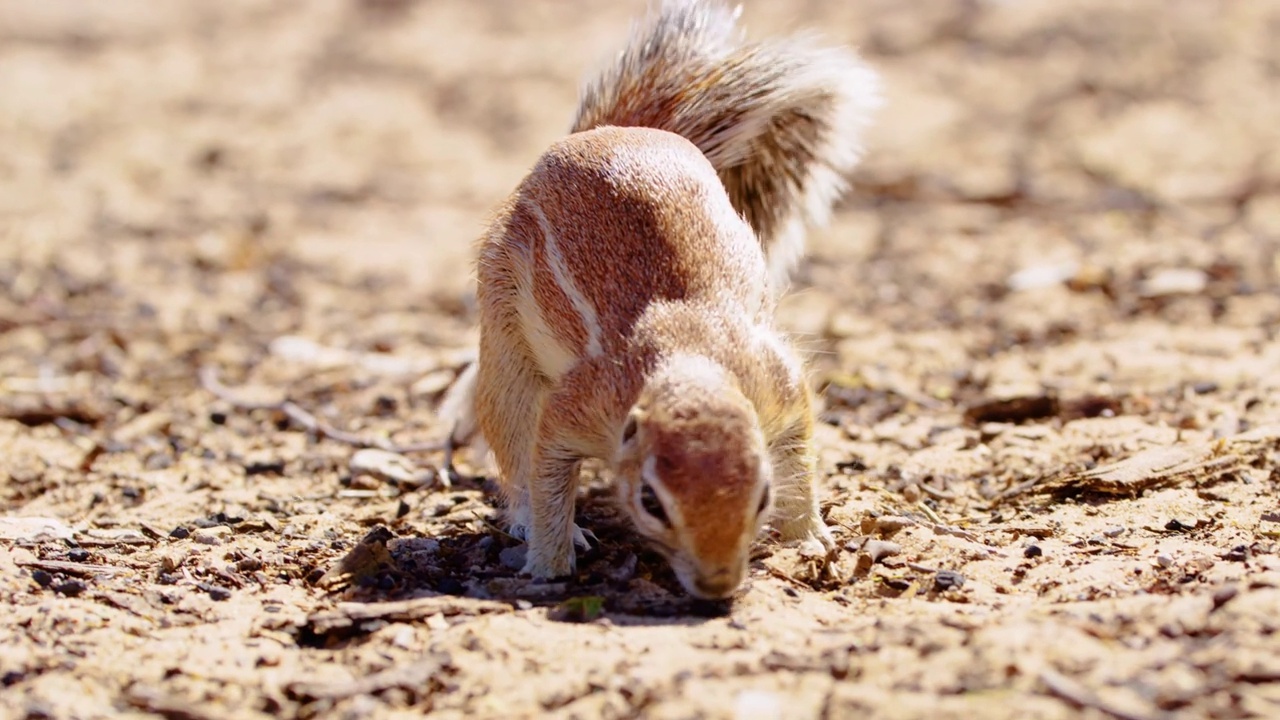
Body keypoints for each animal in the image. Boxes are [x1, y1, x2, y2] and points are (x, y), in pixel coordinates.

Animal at [442, 0, 880, 599]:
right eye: (651, 501)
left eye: (762, 494)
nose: (718, 584)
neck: (690, 359)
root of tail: (610, 130)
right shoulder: (576, 407)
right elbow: (547, 472)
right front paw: (550, 561)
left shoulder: (779, 387)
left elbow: (801, 454)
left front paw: (810, 534)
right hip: (507, 344)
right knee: (513, 444)